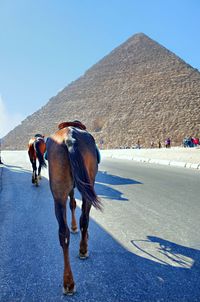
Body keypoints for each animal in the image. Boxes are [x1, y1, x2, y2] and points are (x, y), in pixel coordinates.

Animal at [46, 121, 101, 294]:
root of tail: (69, 136)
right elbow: (78, 209)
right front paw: (79, 232)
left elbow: (72, 204)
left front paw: (74, 227)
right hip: (88, 185)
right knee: (85, 219)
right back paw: (83, 249)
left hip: (58, 193)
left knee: (63, 232)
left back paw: (68, 281)